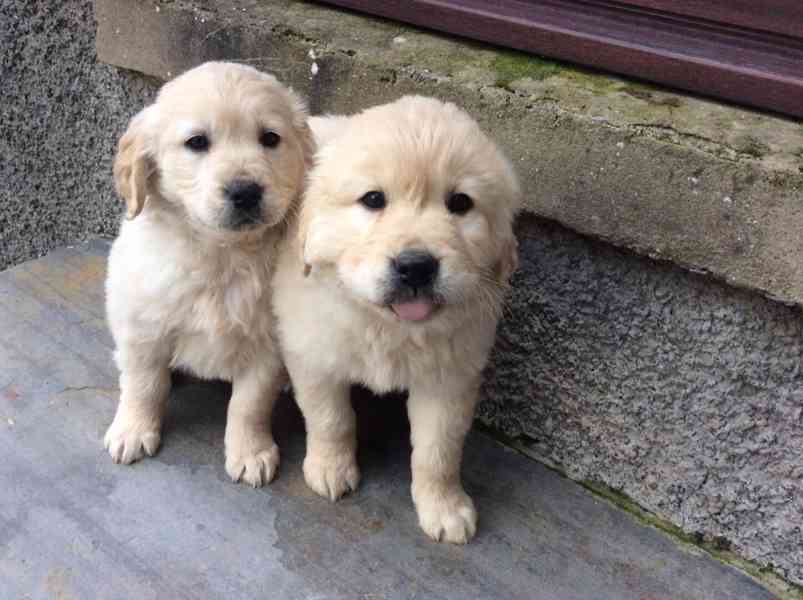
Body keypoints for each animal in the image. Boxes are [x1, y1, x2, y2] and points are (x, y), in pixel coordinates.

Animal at [104, 61, 313, 487]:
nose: (245, 192)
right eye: (197, 142)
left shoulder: (267, 344)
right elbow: (143, 384)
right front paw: (133, 429)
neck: (221, 254)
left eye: (270, 138)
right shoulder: (140, 325)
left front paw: (250, 452)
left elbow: (249, 403)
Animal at [273, 96, 521, 543]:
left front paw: (444, 506)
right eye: (373, 199)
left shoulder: (450, 377)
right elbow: (330, 418)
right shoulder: (316, 354)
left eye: (460, 203)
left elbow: (438, 450)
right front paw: (330, 468)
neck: (387, 327)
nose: (416, 267)